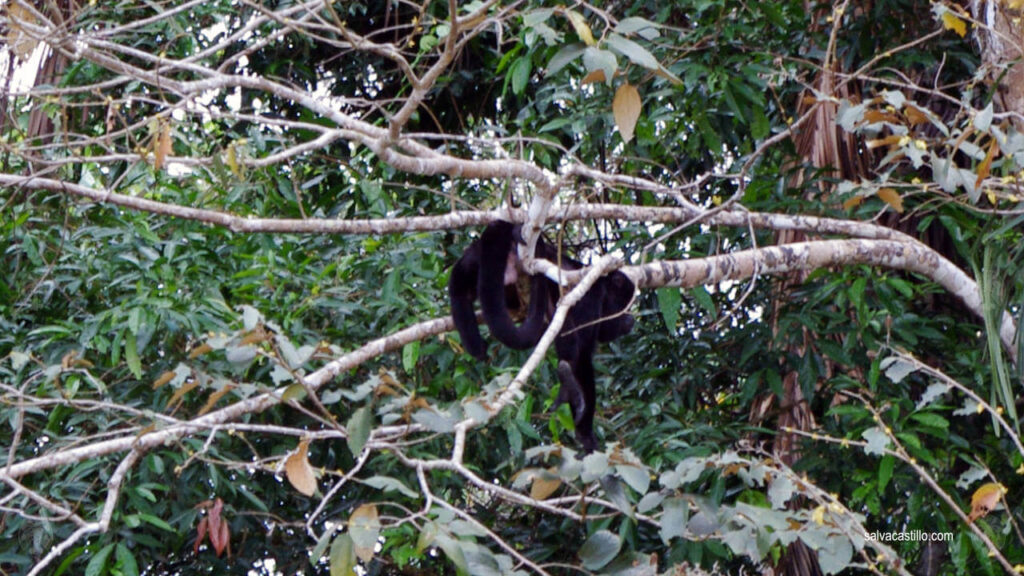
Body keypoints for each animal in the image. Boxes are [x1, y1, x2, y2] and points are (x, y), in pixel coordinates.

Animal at [446, 218, 630, 448]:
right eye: (623, 306)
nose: (630, 319)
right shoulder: (593, 295)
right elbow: (582, 357)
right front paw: (586, 433)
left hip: (475, 260)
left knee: (460, 290)